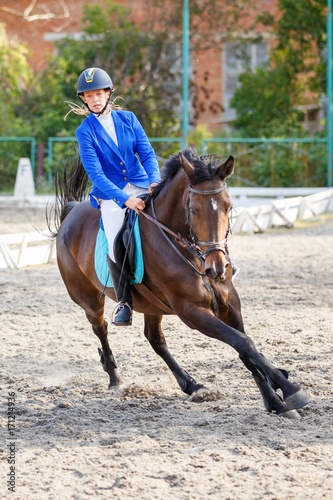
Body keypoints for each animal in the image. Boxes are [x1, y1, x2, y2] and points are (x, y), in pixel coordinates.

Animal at [48, 147, 308, 418]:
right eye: (193, 209)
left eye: (229, 207)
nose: (217, 269)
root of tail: (72, 211)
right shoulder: (191, 311)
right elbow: (243, 342)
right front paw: (289, 391)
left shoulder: (230, 304)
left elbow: (246, 349)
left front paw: (275, 400)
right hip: (89, 300)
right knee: (101, 329)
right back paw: (115, 379)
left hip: (152, 304)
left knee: (155, 339)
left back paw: (191, 385)